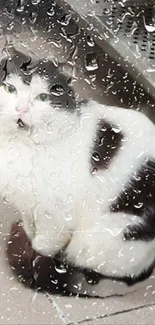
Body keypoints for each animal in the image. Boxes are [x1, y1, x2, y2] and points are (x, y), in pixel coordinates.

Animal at [1, 46, 155, 288]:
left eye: (43, 97)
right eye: (10, 89)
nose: (20, 109)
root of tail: (148, 269)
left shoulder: (56, 218)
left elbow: (42, 245)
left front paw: (35, 255)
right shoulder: (25, 205)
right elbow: (29, 227)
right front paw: (27, 237)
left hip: (100, 238)